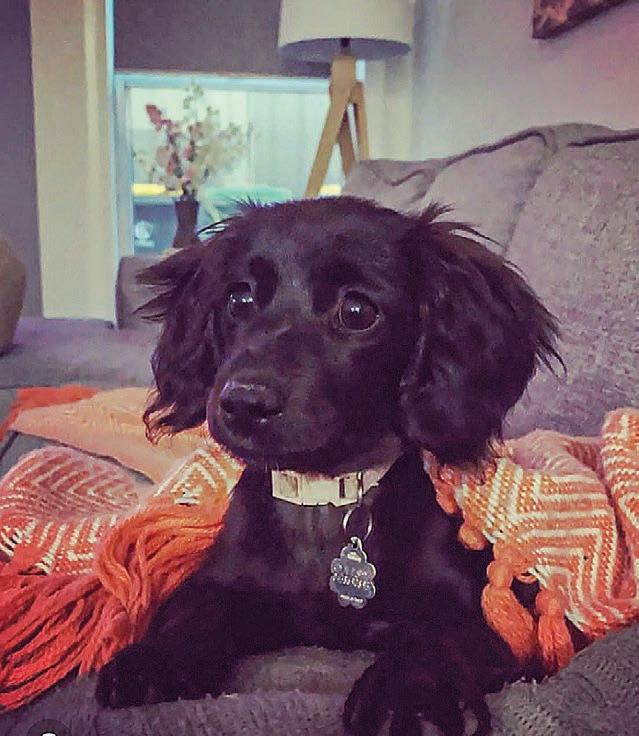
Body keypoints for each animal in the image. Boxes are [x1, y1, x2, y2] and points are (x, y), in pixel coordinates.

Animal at [96, 197, 561, 735]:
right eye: (239, 300)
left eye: (357, 311)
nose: (242, 404)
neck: (318, 496)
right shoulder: (217, 582)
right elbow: (195, 614)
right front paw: (155, 660)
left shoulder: (488, 627)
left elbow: (430, 641)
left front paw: (401, 697)